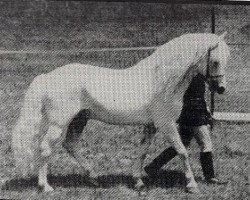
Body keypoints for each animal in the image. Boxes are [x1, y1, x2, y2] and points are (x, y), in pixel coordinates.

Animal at [11, 32, 230, 192]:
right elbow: (182, 151)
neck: (161, 80)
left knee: (70, 144)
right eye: (215, 61)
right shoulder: (165, 124)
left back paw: (93, 178)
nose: (221, 89)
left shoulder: (151, 125)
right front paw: (192, 185)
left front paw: (138, 182)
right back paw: (46, 187)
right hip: (59, 123)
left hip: (80, 119)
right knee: (45, 148)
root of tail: (47, 76)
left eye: (226, 59)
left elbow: (142, 151)